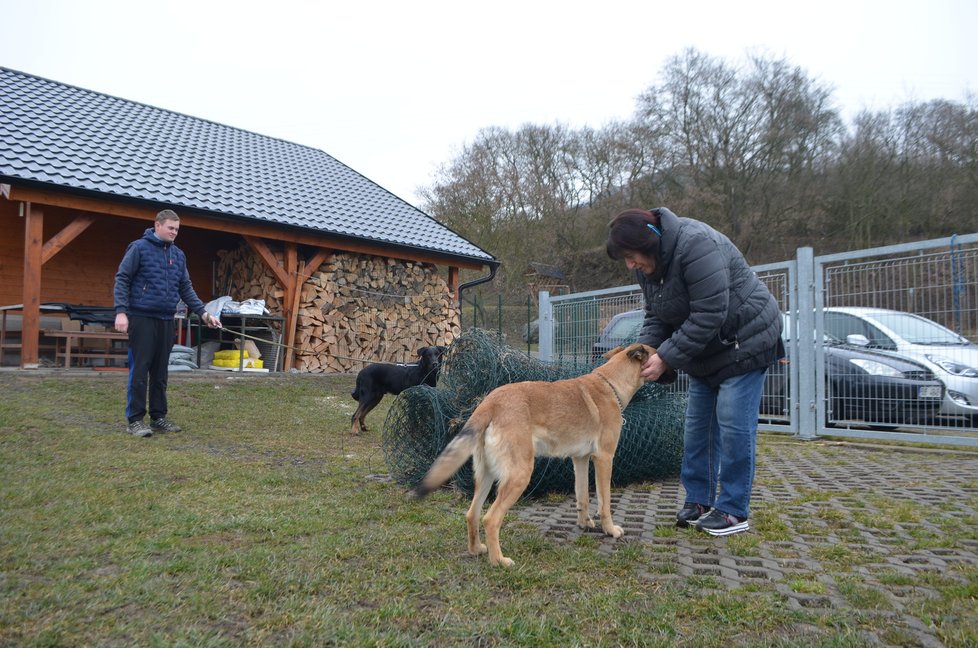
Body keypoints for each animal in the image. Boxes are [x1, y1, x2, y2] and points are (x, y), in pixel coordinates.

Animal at [412, 344, 656, 568]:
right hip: (519, 475)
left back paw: (476, 550)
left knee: (472, 514)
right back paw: (498, 561)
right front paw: (610, 530)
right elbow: (604, 503)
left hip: (486, 475)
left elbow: (582, 496)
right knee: (490, 519)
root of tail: (490, 403)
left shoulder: (580, 460)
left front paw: (584, 523)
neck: (611, 384)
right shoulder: (604, 459)